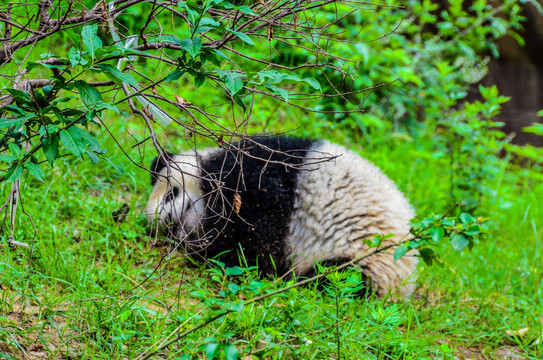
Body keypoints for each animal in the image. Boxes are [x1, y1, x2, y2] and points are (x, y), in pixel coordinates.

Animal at [147, 135, 418, 298]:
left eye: (171, 194)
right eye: (168, 232)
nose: (170, 220)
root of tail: (405, 286)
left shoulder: (257, 171)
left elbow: (261, 230)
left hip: (368, 255)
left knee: (338, 278)